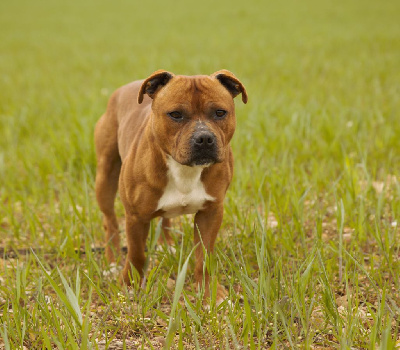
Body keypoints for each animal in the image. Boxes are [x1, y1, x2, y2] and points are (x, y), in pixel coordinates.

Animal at [95, 69, 247, 302]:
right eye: (175, 114)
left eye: (220, 113)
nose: (204, 138)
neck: (184, 169)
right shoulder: (135, 217)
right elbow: (136, 253)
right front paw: (130, 284)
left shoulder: (211, 212)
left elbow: (204, 257)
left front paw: (210, 293)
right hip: (105, 177)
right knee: (110, 222)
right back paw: (112, 263)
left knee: (164, 218)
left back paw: (166, 245)